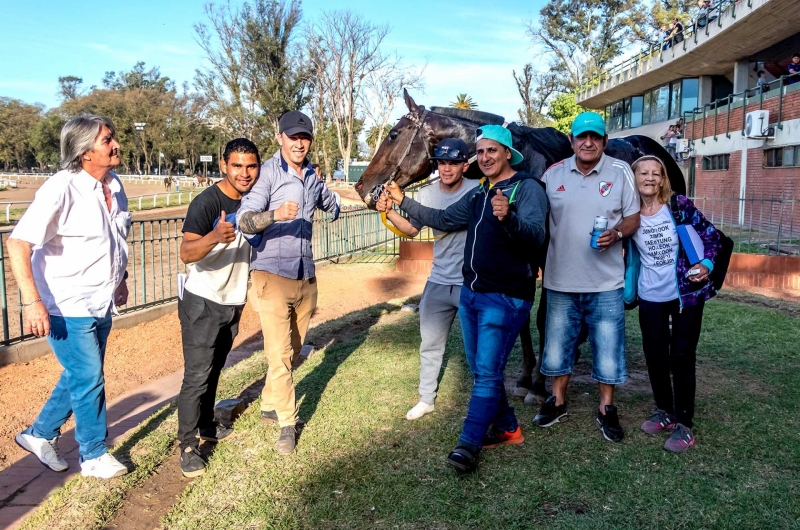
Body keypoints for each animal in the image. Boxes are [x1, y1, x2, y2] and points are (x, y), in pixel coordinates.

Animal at [358, 88, 688, 398]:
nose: (361, 185)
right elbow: (523, 319)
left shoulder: (548, 260)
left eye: (393, 134)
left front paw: (541, 383)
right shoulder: (524, 260)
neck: (526, 168)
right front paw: (526, 377)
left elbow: (543, 319)